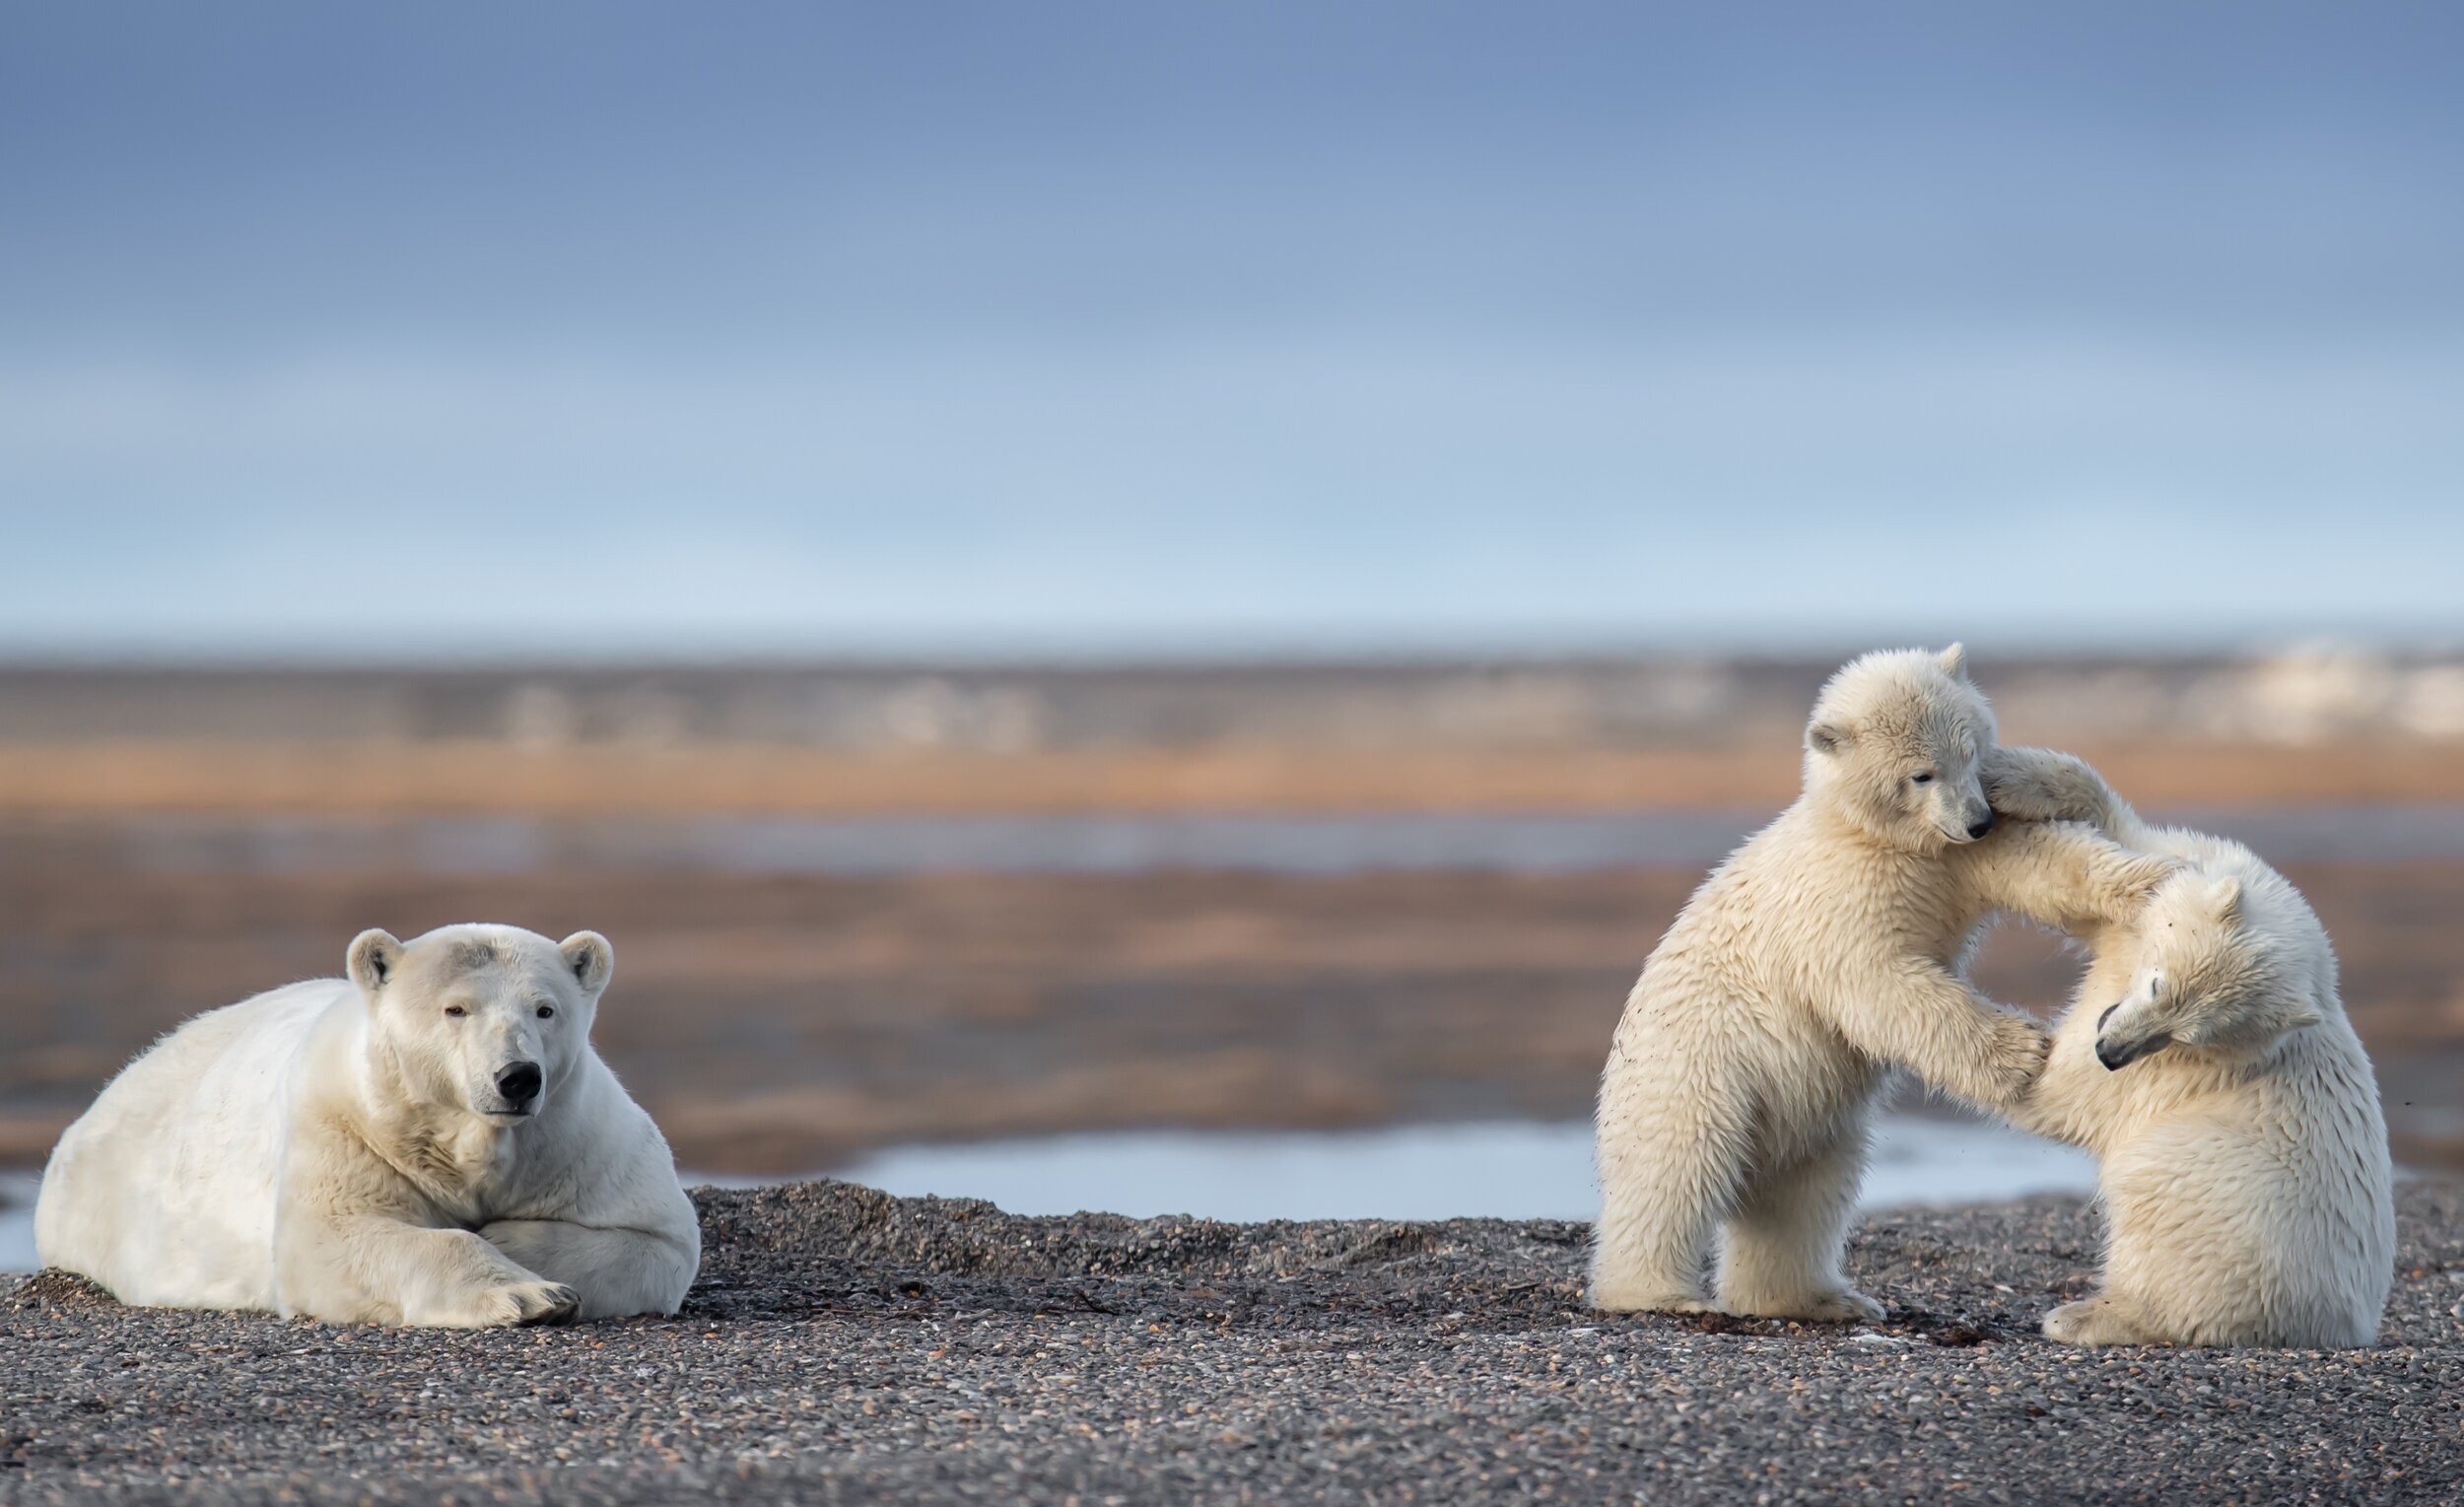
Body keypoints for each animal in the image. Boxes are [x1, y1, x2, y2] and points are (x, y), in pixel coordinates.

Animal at [35, 925, 705, 1320]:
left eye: (545, 1009)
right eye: (455, 1009)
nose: (516, 1077)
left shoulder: (580, 1138)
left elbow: (656, 1238)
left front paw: (516, 1247)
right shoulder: (345, 1127)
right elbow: (332, 1236)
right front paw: (526, 1293)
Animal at [1991, 748, 2395, 1349]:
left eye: (2188, 1036)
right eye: (2159, 984)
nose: (2111, 1051)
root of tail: (2347, 1326)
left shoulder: (2164, 1073)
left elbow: (2063, 1098)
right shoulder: (2173, 890)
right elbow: (2129, 840)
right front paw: (2006, 779)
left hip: (2220, 1192)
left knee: (2153, 1198)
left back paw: (2087, 1314)